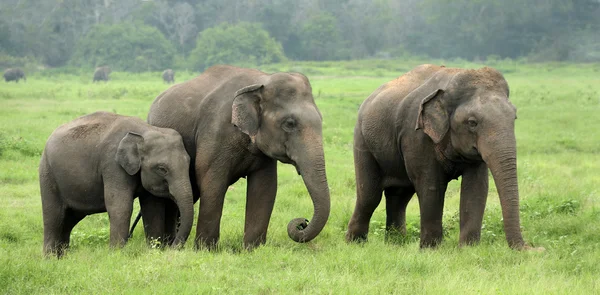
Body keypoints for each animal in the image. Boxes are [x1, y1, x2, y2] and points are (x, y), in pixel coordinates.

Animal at [39, 112, 193, 258]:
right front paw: (116, 254)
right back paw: (50, 259)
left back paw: (62, 257)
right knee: (53, 217)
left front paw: (153, 251)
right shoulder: (112, 164)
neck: (144, 130)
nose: (171, 248)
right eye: (162, 169)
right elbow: (120, 206)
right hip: (47, 174)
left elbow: (153, 208)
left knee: (68, 220)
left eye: (189, 163)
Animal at [146, 65, 332, 250]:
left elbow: (265, 187)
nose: (302, 222)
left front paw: (253, 249)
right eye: (289, 123)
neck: (262, 80)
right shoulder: (215, 132)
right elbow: (212, 182)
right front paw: (206, 250)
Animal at [346, 64, 536, 250]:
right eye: (472, 123)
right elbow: (431, 185)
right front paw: (431, 249)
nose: (533, 248)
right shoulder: (417, 135)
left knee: (399, 195)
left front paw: (468, 249)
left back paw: (395, 243)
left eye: (514, 118)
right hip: (362, 141)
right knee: (370, 195)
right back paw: (355, 243)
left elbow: (476, 187)